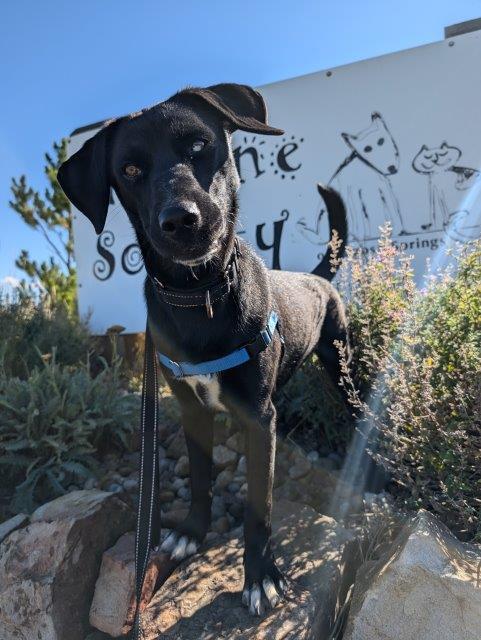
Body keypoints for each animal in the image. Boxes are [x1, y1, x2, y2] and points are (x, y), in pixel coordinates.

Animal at [59, 84, 348, 616]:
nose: (181, 220)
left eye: (199, 144)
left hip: (340, 363)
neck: (199, 296)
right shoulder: (191, 409)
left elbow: (260, 508)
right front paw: (191, 533)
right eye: (129, 170)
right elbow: (198, 478)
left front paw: (260, 575)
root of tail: (315, 276)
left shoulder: (258, 417)